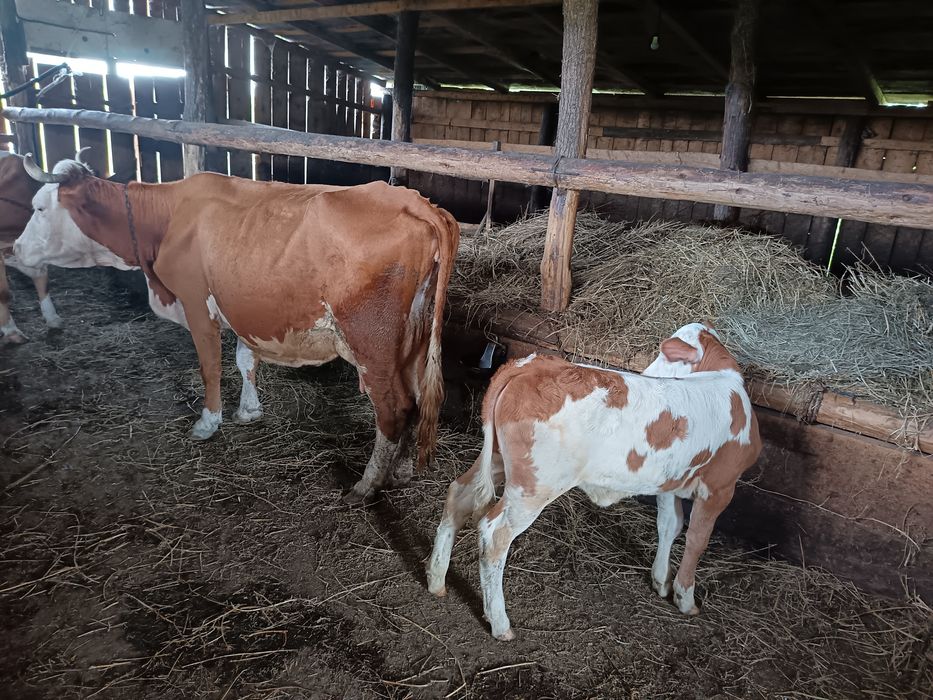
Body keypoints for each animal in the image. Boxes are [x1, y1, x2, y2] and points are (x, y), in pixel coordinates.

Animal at [14, 155, 460, 502]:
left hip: (373, 344)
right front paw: (249, 410)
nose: (15, 250)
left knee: (394, 408)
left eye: (38, 208)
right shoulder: (239, 306)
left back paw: (367, 485)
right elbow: (245, 357)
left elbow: (210, 366)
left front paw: (208, 422)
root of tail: (417, 202)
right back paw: (401, 471)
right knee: (418, 400)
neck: (168, 217)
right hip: (414, 340)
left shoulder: (195, 301)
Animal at [426, 323, 762, 640]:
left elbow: (670, 525)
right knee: (494, 534)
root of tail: (531, 367)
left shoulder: (669, 482)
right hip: (534, 487)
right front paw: (685, 598)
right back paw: (499, 623)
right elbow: (697, 541)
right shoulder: (720, 488)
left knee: (458, 494)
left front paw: (660, 580)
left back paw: (436, 579)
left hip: (497, 459)